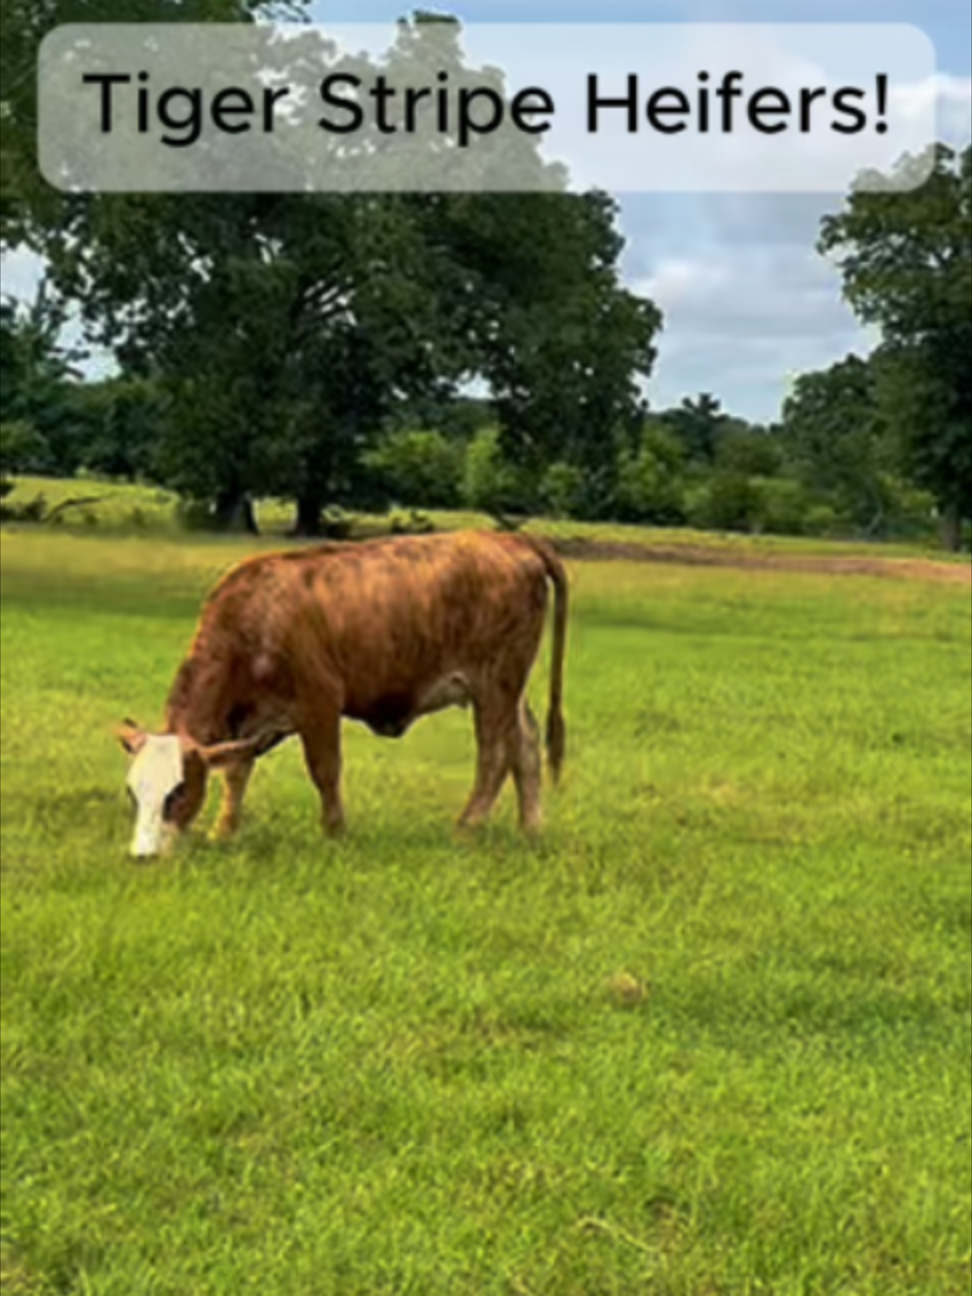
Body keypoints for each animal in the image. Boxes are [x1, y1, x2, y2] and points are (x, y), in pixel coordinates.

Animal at [117, 529, 568, 858]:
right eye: (133, 792)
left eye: (177, 791)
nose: (144, 856)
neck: (255, 620)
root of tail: (509, 539)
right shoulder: (247, 722)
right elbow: (236, 773)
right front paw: (223, 831)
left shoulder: (319, 705)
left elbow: (325, 771)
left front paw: (334, 834)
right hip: (507, 689)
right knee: (525, 745)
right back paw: (531, 830)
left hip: (495, 683)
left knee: (495, 754)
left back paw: (466, 829)